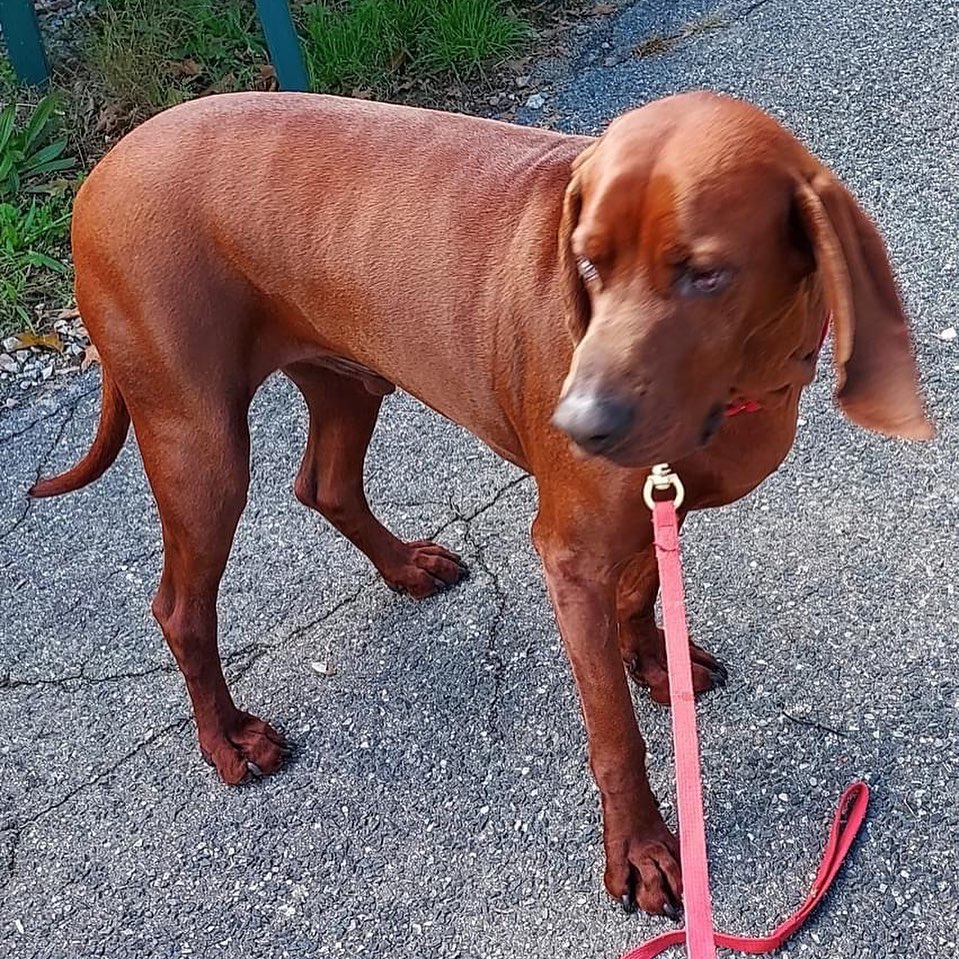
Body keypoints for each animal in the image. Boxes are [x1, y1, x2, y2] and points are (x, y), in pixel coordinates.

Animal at [33, 94, 932, 920]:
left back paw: (405, 565)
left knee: (324, 484)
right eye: (587, 264)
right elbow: (614, 733)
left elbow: (641, 588)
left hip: (345, 376)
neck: (735, 388)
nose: (580, 424)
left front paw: (653, 661)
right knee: (180, 605)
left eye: (706, 272)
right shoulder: (570, 555)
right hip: (197, 439)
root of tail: (102, 173)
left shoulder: (651, 504)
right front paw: (640, 852)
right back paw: (229, 738)